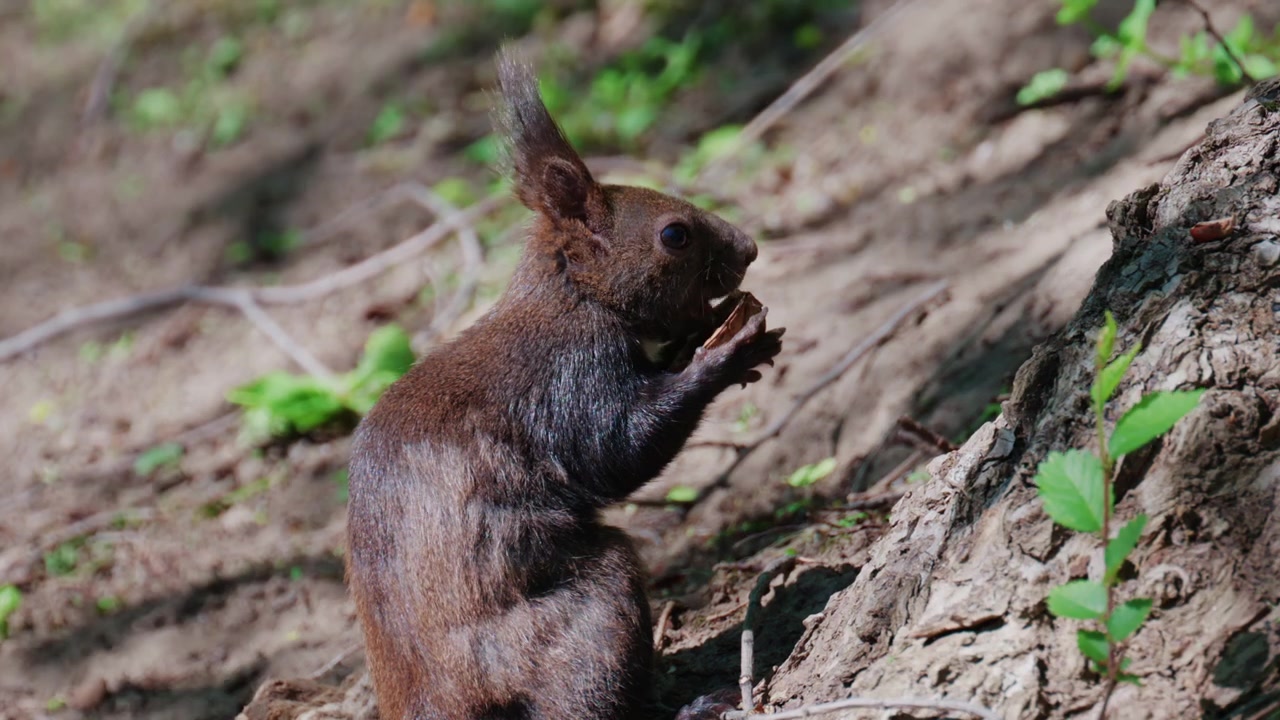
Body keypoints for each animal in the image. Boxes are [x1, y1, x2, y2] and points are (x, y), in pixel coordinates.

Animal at [345, 50, 784, 720]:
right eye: (674, 235)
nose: (750, 247)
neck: (573, 295)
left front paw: (704, 337)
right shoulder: (572, 376)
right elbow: (618, 450)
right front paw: (727, 355)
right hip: (585, 614)